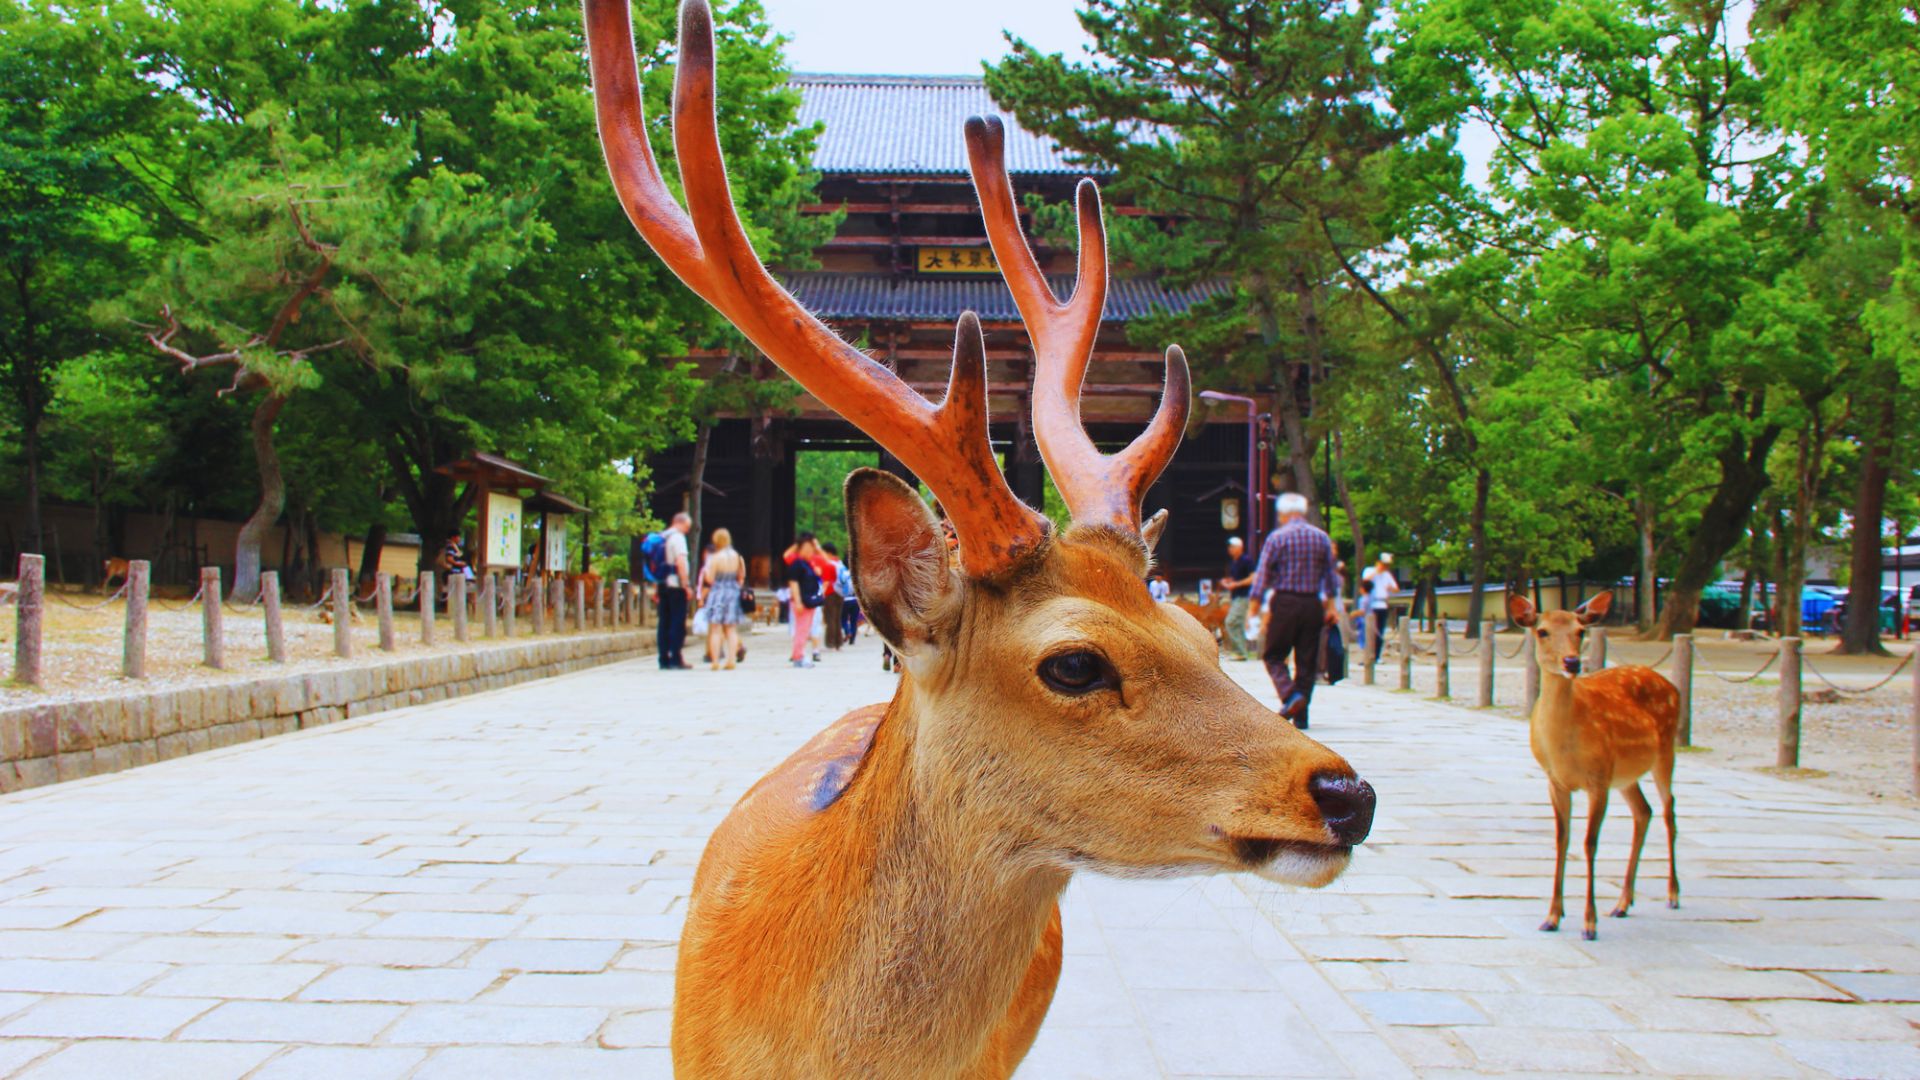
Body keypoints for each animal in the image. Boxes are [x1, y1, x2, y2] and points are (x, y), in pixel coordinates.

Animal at [1509, 591, 1679, 941]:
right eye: (1542, 631)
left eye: (1580, 631)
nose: (1572, 662)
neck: (1563, 747)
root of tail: (1673, 687)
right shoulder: (1556, 781)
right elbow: (1562, 839)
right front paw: (1552, 917)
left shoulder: (1597, 779)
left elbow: (1590, 843)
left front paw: (1589, 924)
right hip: (1625, 775)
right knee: (1644, 811)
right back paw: (1622, 903)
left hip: (1665, 750)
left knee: (1669, 809)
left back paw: (1672, 895)